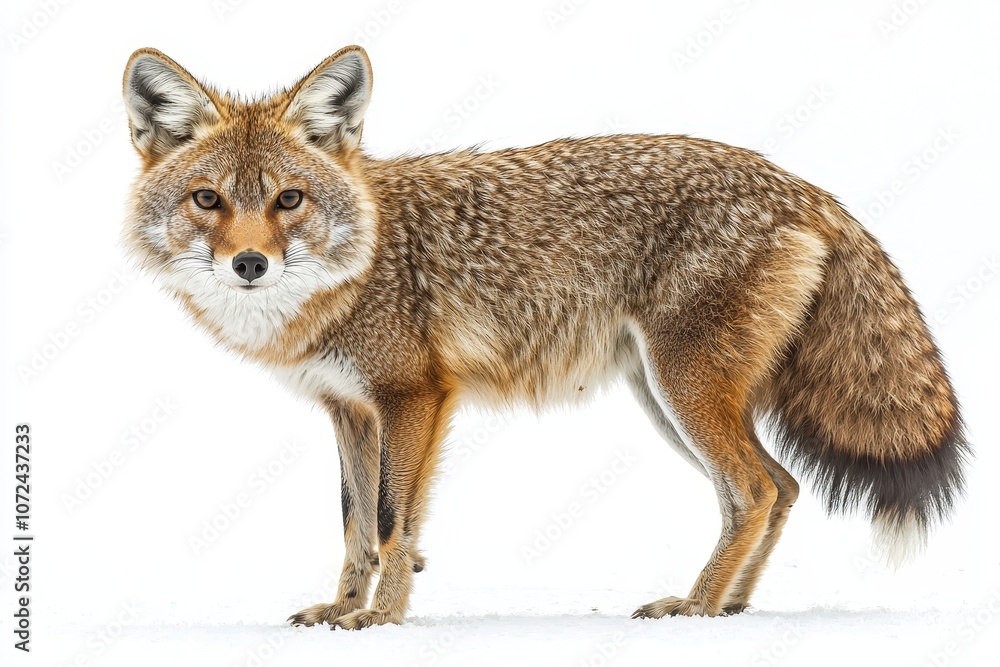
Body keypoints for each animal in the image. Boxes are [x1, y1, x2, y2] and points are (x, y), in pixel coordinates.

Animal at [121, 45, 970, 629]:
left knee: (756, 489)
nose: (250, 262)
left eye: (289, 200)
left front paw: (383, 618)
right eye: (208, 200)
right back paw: (729, 605)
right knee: (780, 486)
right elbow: (357, 524)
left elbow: (393, 523)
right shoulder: (349, 409)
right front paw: (343, 610)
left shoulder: (413, 397)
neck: (348, 272)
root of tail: (801, 184)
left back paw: (696, 607)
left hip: (682, 389)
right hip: (668, 397)